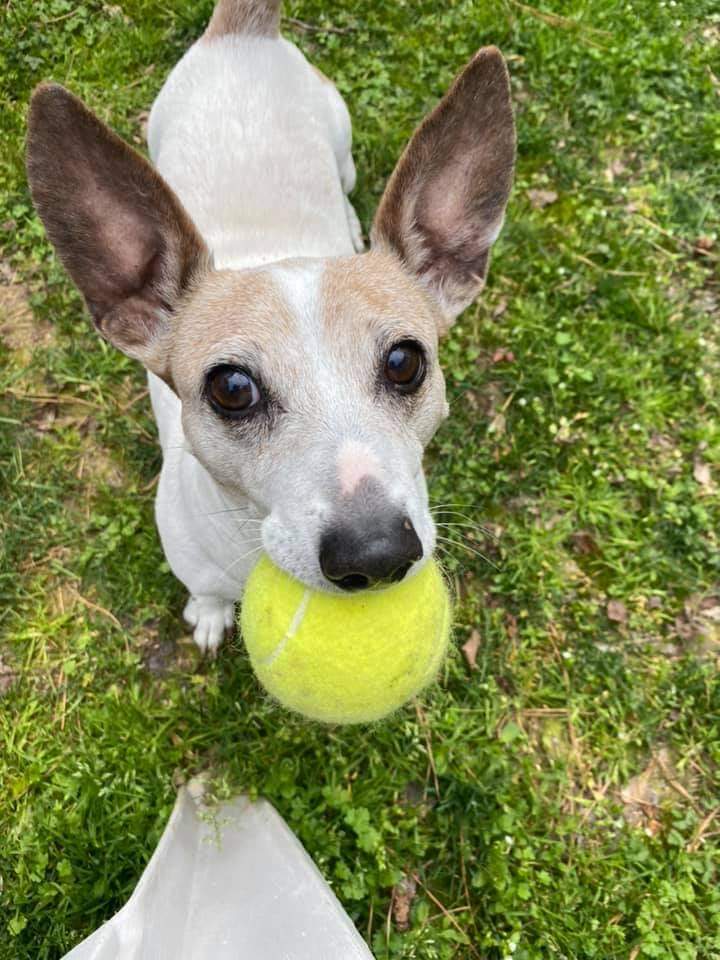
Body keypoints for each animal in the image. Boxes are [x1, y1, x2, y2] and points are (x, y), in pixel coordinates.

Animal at [25, 0, 516, 652]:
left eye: (406, 362)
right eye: (232, 389)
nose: (378, 553)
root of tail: (244, 30)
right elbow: (205, 593)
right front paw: (210, 615)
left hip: (340, 139)